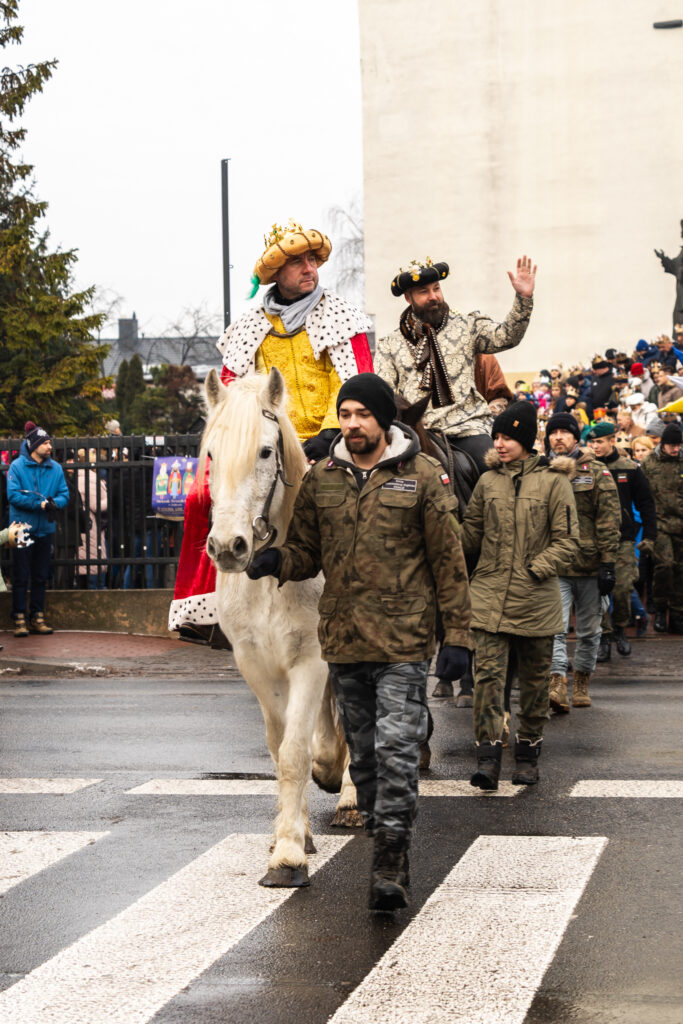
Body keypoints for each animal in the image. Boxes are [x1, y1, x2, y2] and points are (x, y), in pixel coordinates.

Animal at [200, 368, 360, 888]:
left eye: (266, 451)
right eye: (212, 454)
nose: (228, 547)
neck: (273, 573)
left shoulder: (311, 660)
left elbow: (294, 753)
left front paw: (288, 856)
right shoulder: (257, 665)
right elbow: (280, 746)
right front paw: (294, 834)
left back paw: (349, 794)